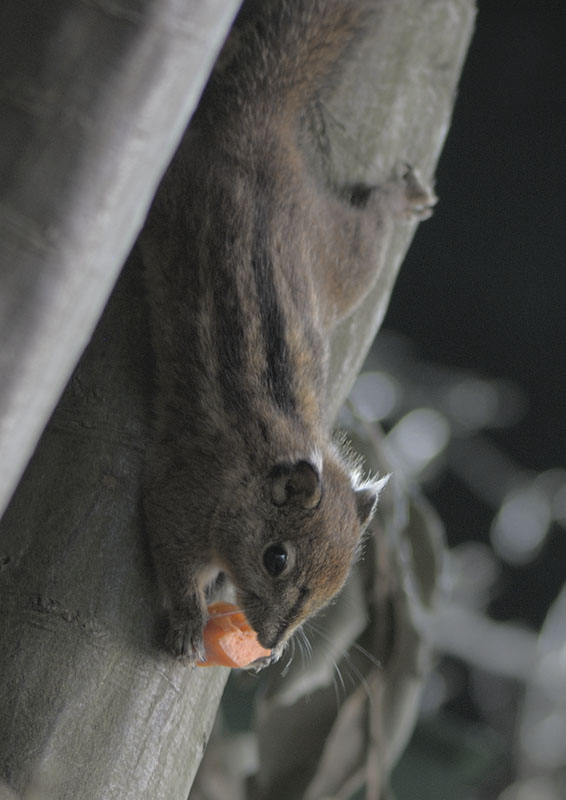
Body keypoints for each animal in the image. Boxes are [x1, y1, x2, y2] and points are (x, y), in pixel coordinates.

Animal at [139, 0, 434, 666]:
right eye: (276, 559)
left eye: (333, 590)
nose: (272, 644)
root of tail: (259, 127)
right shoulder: (180, 499)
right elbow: (172, 560)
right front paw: (186, 624)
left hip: (336, 258)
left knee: (372, 226)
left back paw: (402, 198)